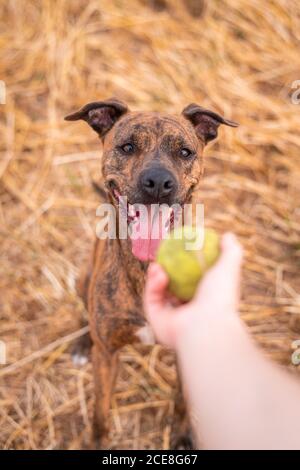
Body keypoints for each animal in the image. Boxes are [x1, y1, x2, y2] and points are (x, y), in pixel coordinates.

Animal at [65, 99, 237, 448]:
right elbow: (100, 413)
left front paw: (183, 435)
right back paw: (81, 343)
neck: (144, 268)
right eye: (127, 147)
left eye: (185, 151)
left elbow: (183, 401)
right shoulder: (107, 355)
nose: (158, 182)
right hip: (84, 279)